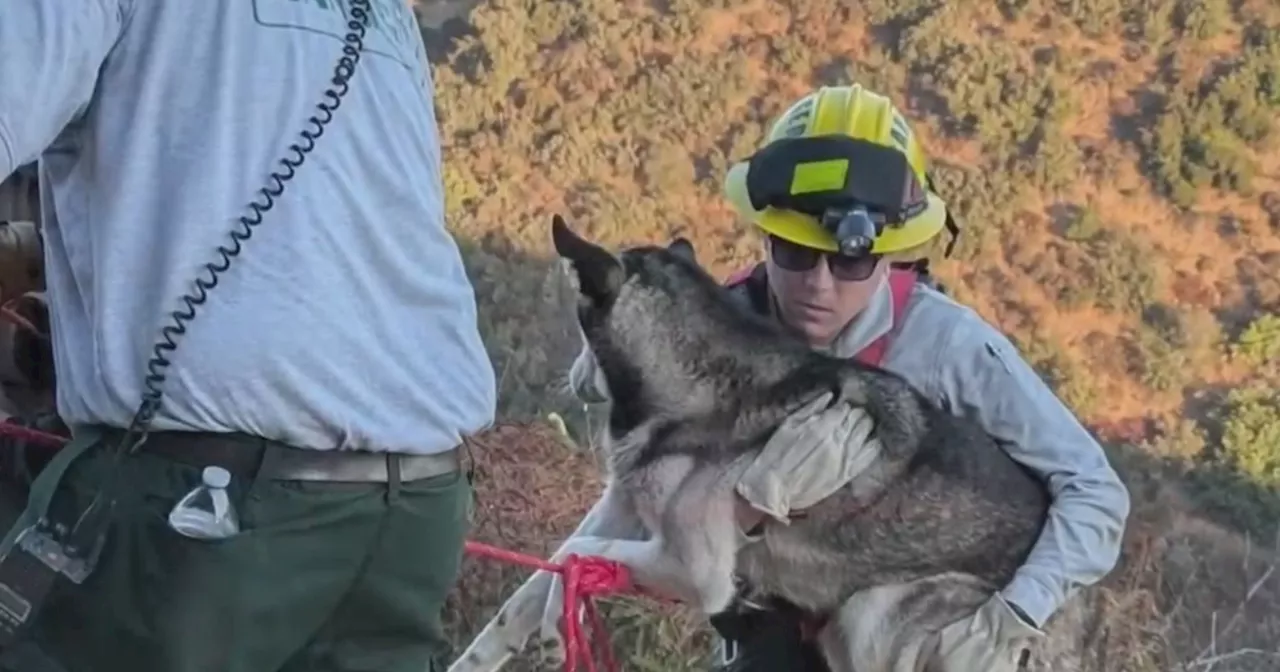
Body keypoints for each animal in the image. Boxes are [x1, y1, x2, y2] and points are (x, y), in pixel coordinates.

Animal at [450, 216, 1049, 670]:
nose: (573, 380)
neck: (694, 376)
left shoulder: (696, 572)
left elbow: (582, 555)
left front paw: (558, 620)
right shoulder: (622, 506)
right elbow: (547, 574)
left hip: (877, 619)